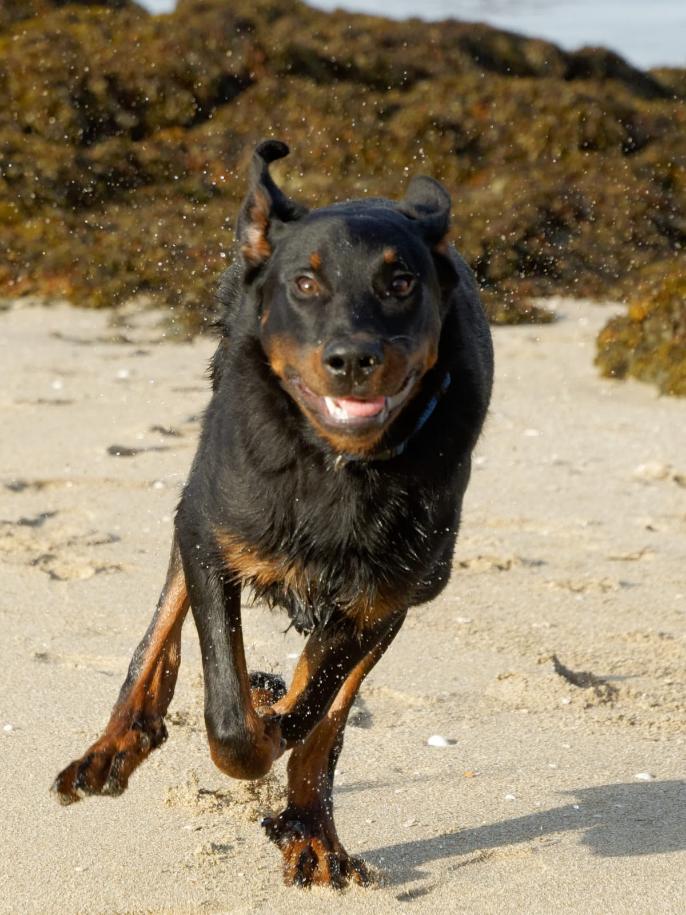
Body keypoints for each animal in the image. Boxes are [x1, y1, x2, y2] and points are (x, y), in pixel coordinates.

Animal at [53, 140, 494, 892]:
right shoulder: (212, 535)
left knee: (325, 713)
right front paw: (251, 715)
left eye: (401, 282)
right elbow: (228, 711)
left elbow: (321, 704)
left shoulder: (390, 593)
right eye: (305, 283)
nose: (352, 359)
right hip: (203, 494)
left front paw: (298, 792)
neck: (335, 462)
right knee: (164, 618)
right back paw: (115, 744)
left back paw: (312, 827)